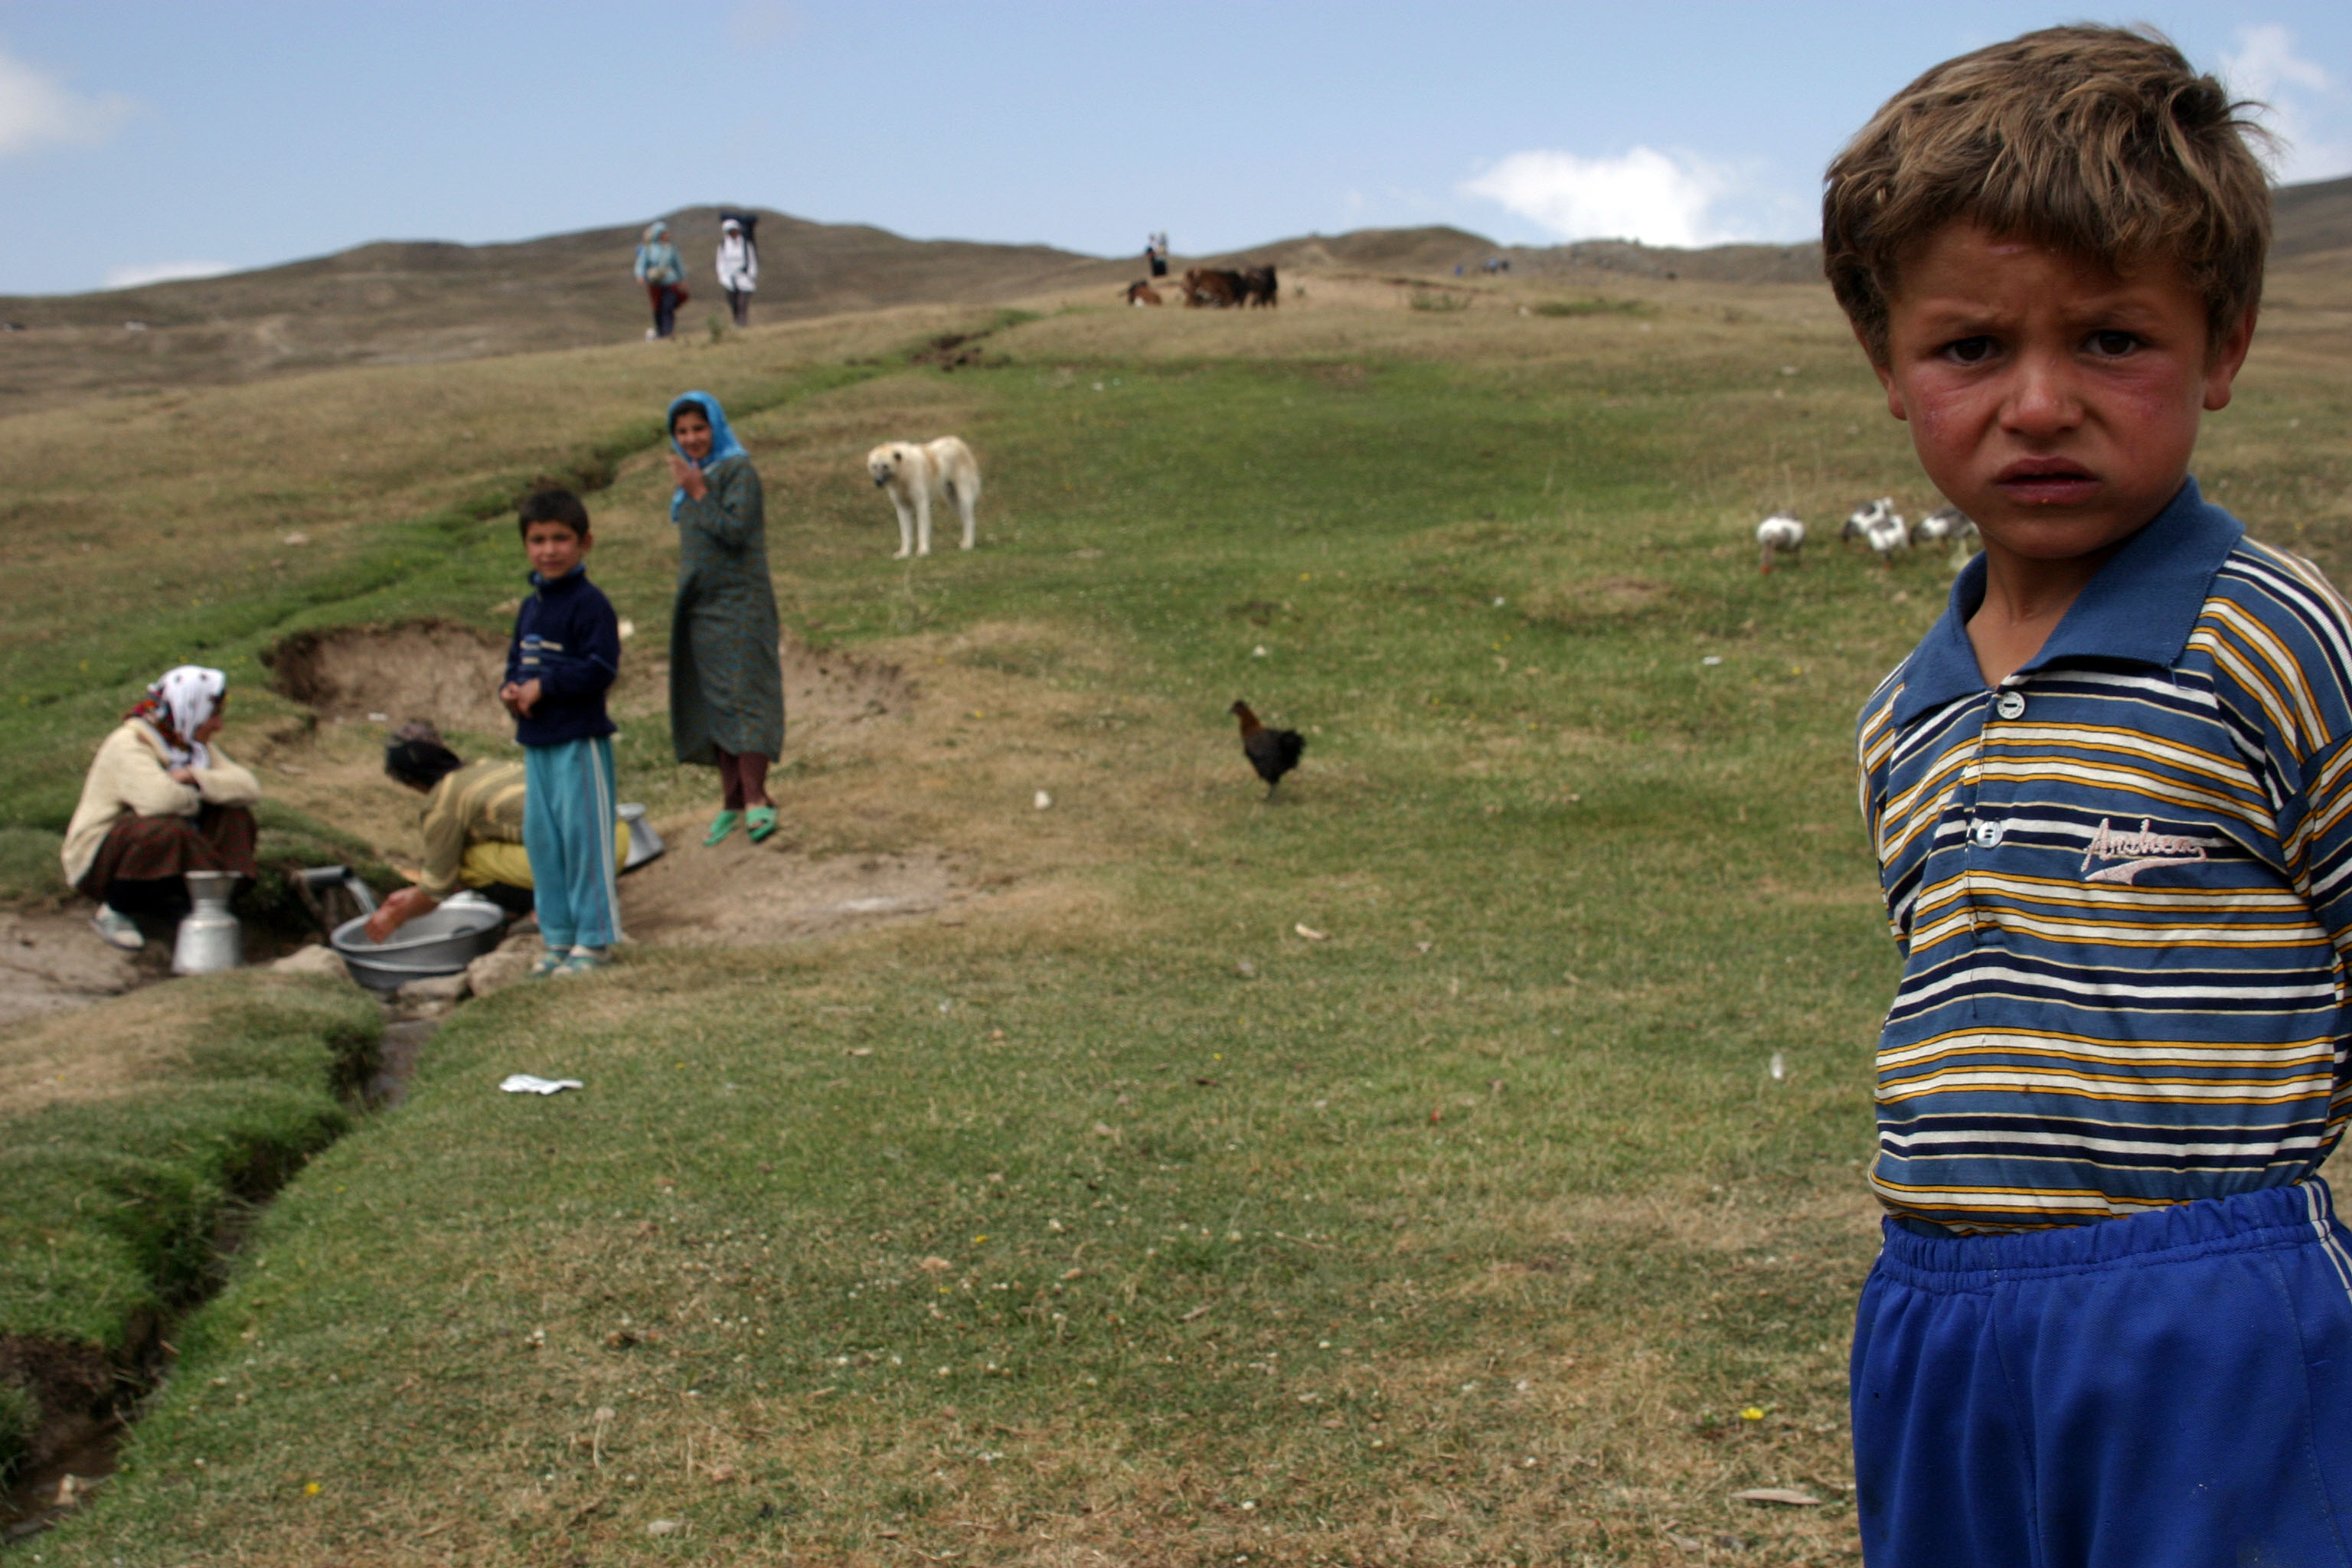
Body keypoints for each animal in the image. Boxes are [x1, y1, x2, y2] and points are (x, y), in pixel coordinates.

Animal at [865, 439, 983, 561]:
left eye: (885, 466)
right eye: (874, 466)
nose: (878, 482)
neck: (903, 473)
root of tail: (958, 442)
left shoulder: (921, 504)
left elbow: (922, 530)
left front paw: (923, 551)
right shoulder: (902, 508)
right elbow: (905, 533)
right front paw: (904, 553)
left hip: (963, 497)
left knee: (970, 519)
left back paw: (969, 544)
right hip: (953, 501)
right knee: (965, 519)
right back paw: (965, 542)